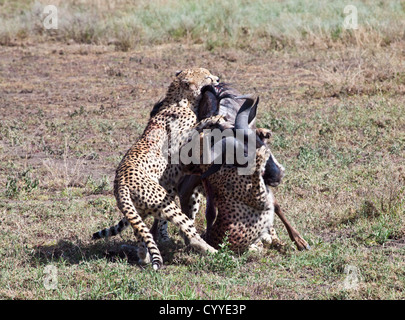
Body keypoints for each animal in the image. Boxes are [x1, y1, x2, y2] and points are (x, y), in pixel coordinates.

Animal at [92, 68, 221, 270]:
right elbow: (196, 128)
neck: (181, 101)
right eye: (207, 76)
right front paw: (212, 119)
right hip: (165, 201)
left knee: (141, 233)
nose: (217, 79)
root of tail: (120, 182)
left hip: (141, 209)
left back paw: (144, 256)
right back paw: (215, 252)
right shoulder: (178, 144)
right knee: (187, 231)